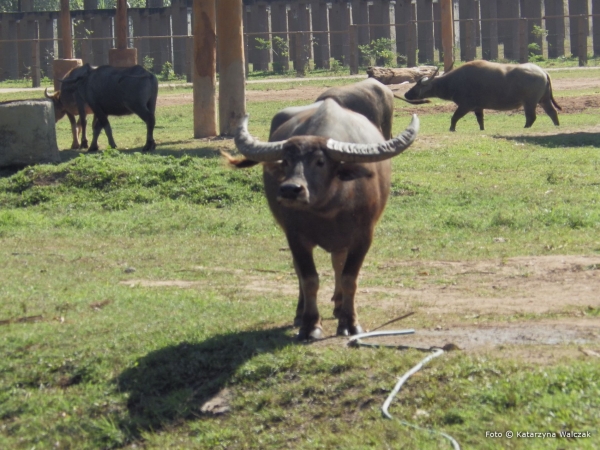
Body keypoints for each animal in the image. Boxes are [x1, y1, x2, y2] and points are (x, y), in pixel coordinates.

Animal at [225, 89, 418, 342]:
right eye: (286, 161)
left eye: (320, 161)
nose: (290, 190)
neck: (328, 208)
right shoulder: (295, 237)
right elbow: (309, 279)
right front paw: (310, 325)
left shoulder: (363, 236)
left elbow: (349, 278)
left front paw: (350, 323)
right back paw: (301, 313)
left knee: (338, 263)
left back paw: (338, 307)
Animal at [404, 59, 564, 131]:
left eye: (418, 85)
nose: (406, 94)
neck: (454, 81)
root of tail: (543, 72)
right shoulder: (478, 107)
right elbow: (480, 120)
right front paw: (482, 129)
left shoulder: (465, 105)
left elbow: (454, 117)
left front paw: (451, 129)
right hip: (543, 100)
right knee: (552, 112)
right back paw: (557, 126)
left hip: (529, 102)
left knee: (531, 117)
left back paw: (525, 128)